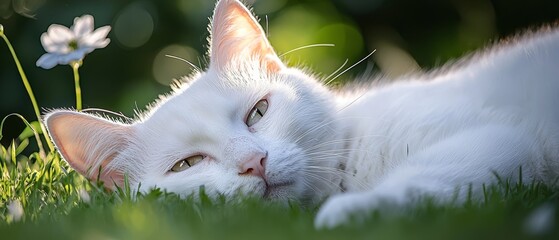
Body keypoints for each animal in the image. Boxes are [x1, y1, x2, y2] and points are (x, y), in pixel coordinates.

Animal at [46, 0, 559, 229]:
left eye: (258, 112)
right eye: (187, 165)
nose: (254, 163)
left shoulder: (497, 141)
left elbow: (428, 176)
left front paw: (352, 213)